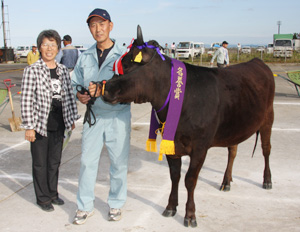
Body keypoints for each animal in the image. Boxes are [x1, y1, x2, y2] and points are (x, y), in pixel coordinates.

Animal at [100, 26, 274, 227]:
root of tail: (257, 61)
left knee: (266, 149)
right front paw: (170, 207)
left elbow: (190, 180)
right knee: (233, 151)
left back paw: (267, 180)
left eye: (126, 65)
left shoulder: (200, 147)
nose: (106, 88)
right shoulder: (171, 144)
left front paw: (190, 215)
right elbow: (174, 176)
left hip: (268, 118)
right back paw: (226, 181)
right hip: (235, 126)